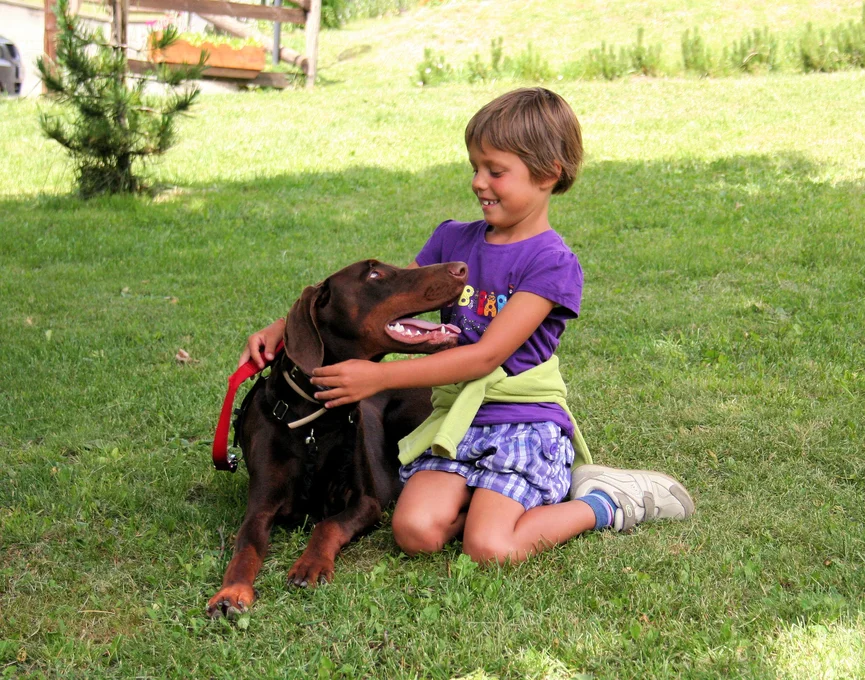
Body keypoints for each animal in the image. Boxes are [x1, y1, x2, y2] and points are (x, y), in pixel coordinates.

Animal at [208, 258, 466, 620]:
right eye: (374, 274)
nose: (461, 268)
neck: (314, 424)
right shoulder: (259, 507)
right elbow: (245, 547)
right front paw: (230, 593)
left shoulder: (365, 502)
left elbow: (327, 526)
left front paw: (310, 565)